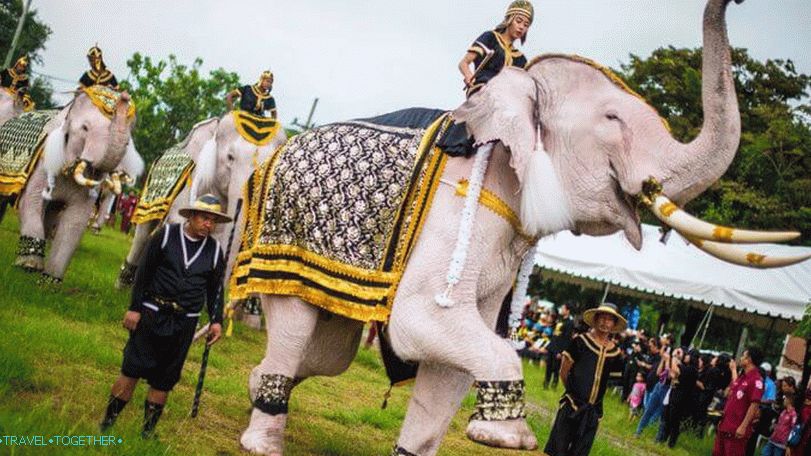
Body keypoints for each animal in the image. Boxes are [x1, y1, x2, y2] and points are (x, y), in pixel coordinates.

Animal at [13, 89, 143, 282]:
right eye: (85, 129)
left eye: (128, 143)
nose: (125, 96)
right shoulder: (44, 161)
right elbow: (31, 200)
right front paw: (29, 266)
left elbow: (76, 219)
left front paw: (50, 281)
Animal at [230, 1, 799, 455]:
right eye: (612, 119)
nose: (735, 0)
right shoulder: (455, 211)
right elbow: (421, 325)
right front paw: (507, 436)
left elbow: (451, 371)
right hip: (284, 235)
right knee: (298, 327)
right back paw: (263, 441)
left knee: (328, 351)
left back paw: (256, 384)